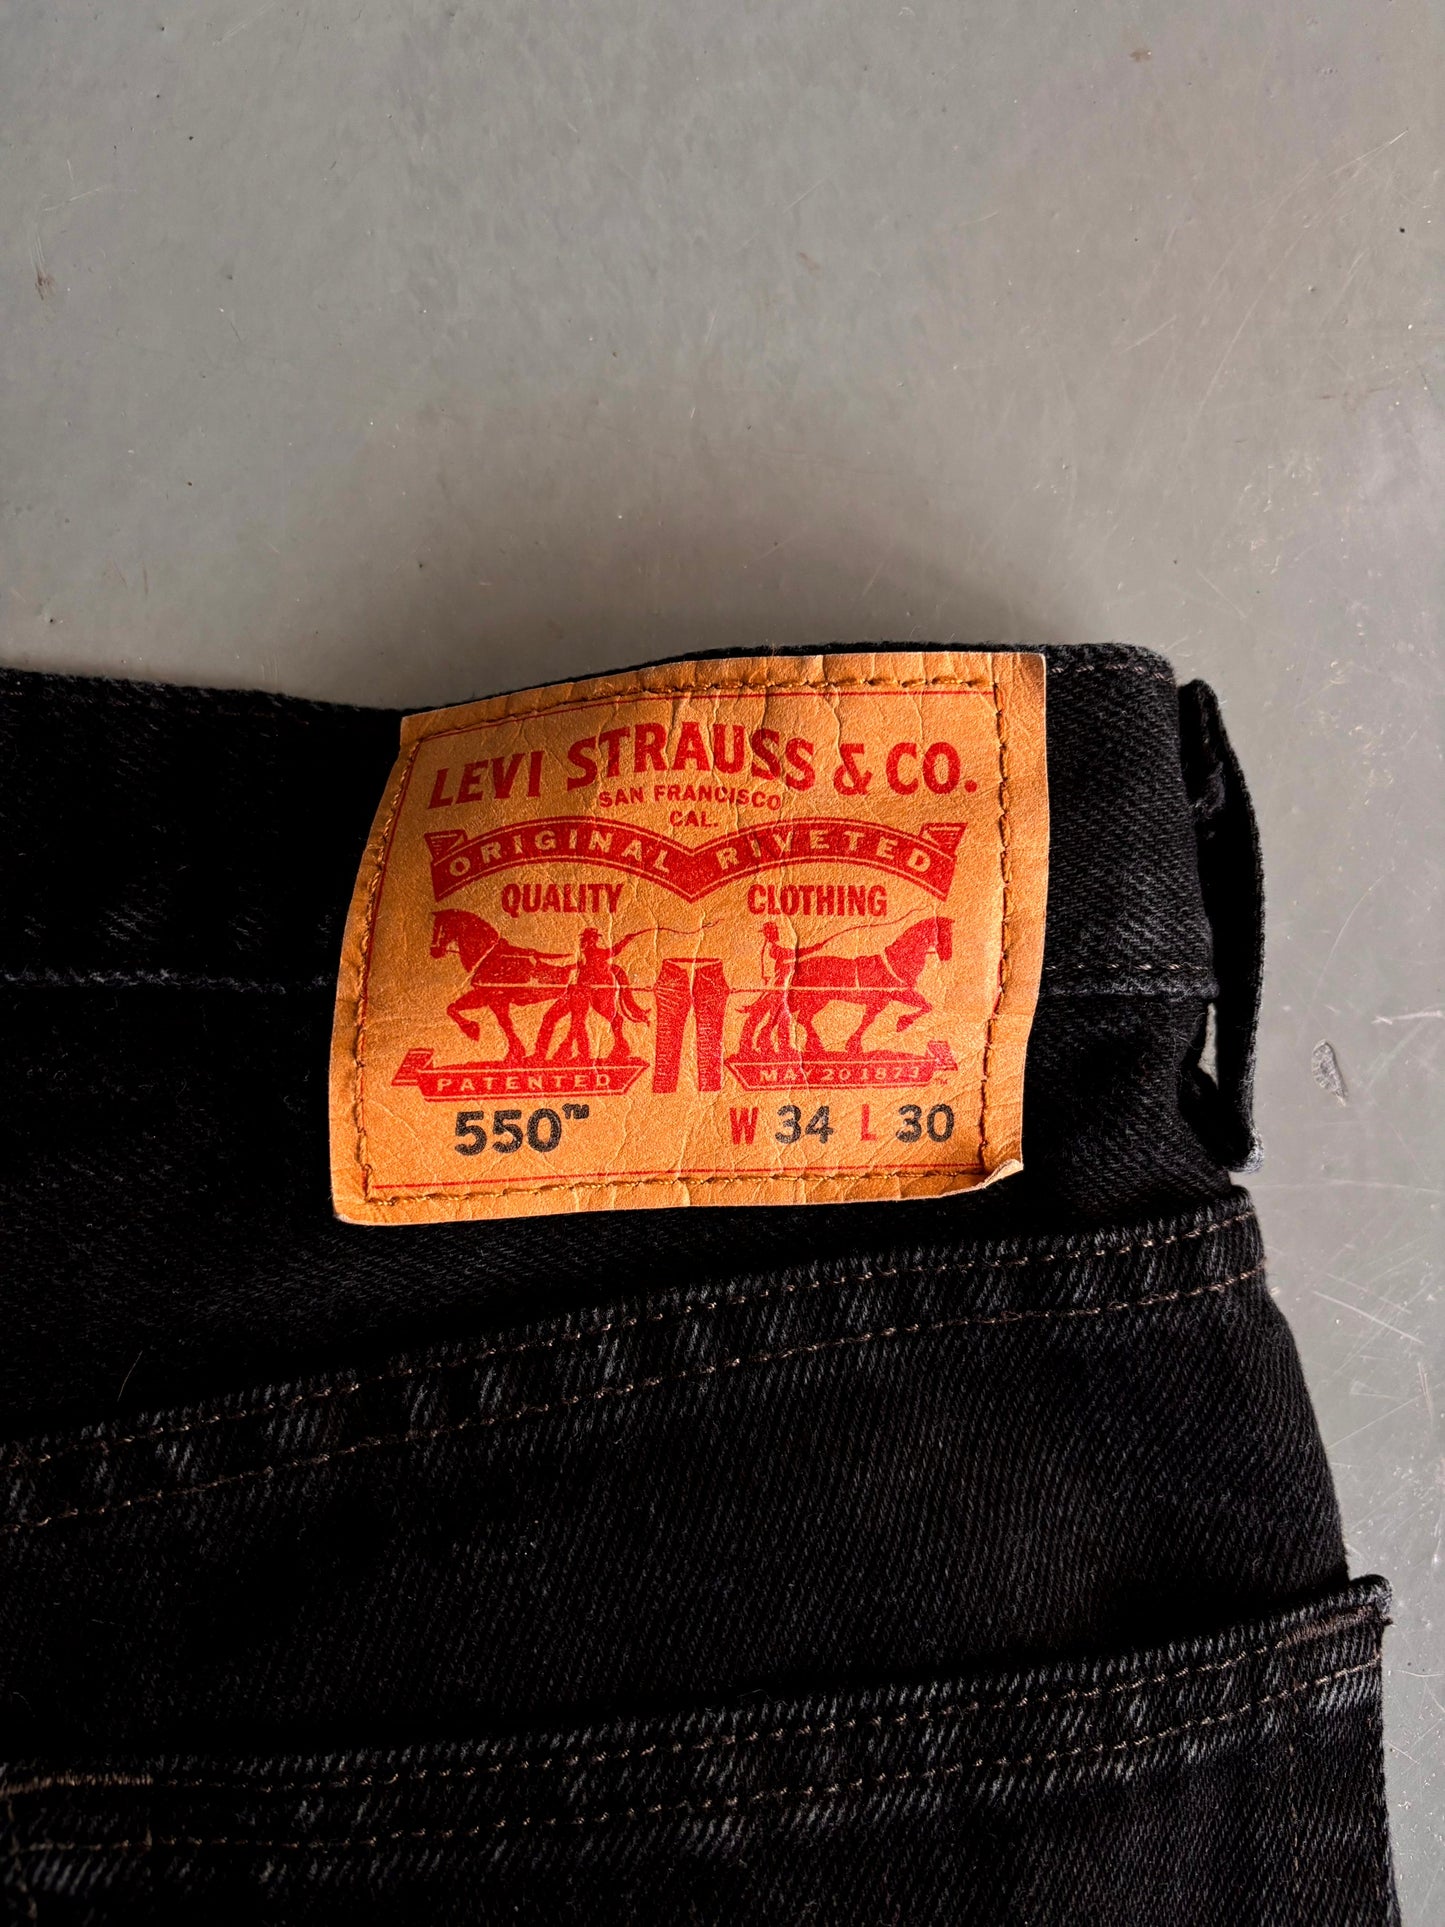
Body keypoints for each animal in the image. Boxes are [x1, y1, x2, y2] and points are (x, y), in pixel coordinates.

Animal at [430, 910, 572, 1061]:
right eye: (433, 928)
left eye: (443, 929)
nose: (434, 952)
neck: (489, 956)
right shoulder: (484, 996)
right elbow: (452, 1007)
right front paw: (472, 1029)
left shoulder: (497, 999)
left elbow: (505, 1023)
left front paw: (514, 1052)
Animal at [741, 917, 952, 1059]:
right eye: (944, 933)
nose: (947, 955)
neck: (896, 962)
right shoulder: (888, 998)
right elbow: (874, 1019)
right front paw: (900, 1024)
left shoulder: (890, 998)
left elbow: (923, 1006)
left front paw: (854, 1045)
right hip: (813, 998)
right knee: (783, 1014)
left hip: (818, 999)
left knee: (792, 1016)